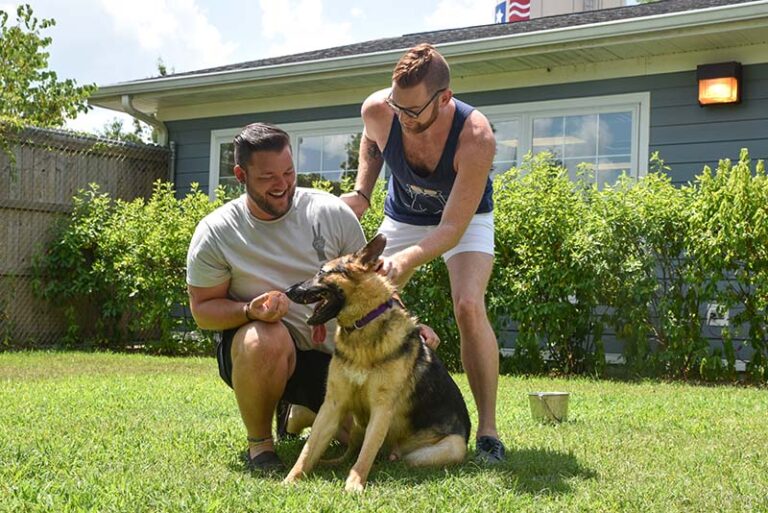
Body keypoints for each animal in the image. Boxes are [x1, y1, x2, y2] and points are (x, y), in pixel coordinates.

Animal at [284, 234, 472, 490]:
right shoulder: (332, 405)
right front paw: (290, 479)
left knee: (383, 456)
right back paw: (327, 462)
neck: (362, 326)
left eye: (322, 272)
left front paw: (354, 485)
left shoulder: (381, 410)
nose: (287, 291)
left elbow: (364, 456)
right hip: (356, 426)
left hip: (449, 447)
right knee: (347, 453)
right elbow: (308, 450)